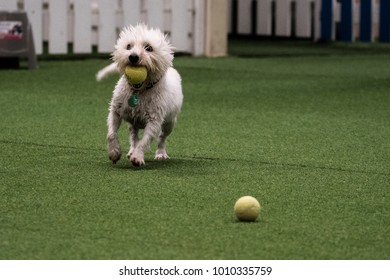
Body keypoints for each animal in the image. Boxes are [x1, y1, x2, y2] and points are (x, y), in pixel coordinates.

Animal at [103, 24, 184, 166]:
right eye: (128, 46)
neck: (139, 91)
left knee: (162, 137)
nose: (133, 57)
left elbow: (145, 141)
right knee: (133, 136)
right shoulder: (116, 111)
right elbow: (111, 134)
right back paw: (131, 151)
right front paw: (114, 153)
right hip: (132, 122)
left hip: (170, 123)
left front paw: (137, 157)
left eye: (149, 48)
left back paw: (161, 154)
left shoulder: (154, 120)